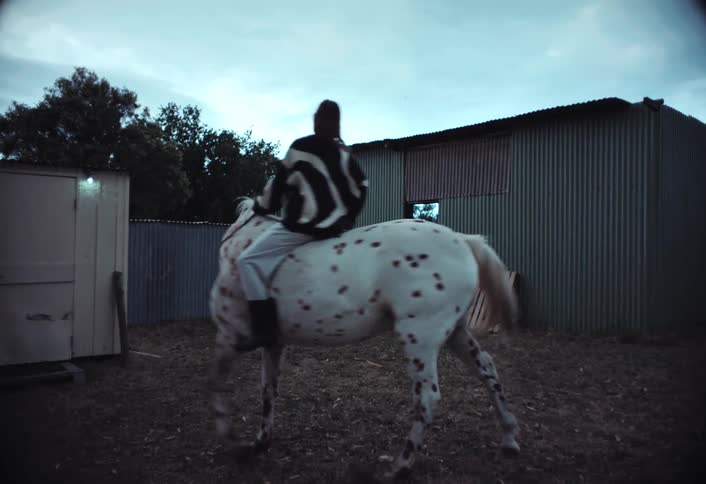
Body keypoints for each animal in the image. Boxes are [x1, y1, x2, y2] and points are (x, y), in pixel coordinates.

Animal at [208, 197, 521, 479]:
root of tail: (461, 239)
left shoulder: (228, 336)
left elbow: (217, 383)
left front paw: (230, 437)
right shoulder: (273, 343)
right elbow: (268, 390)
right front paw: (261, 441)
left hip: (421, 337)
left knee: (428, 397)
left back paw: (398, 466)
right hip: (455, 333)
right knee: (487, 370)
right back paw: (509, 440)